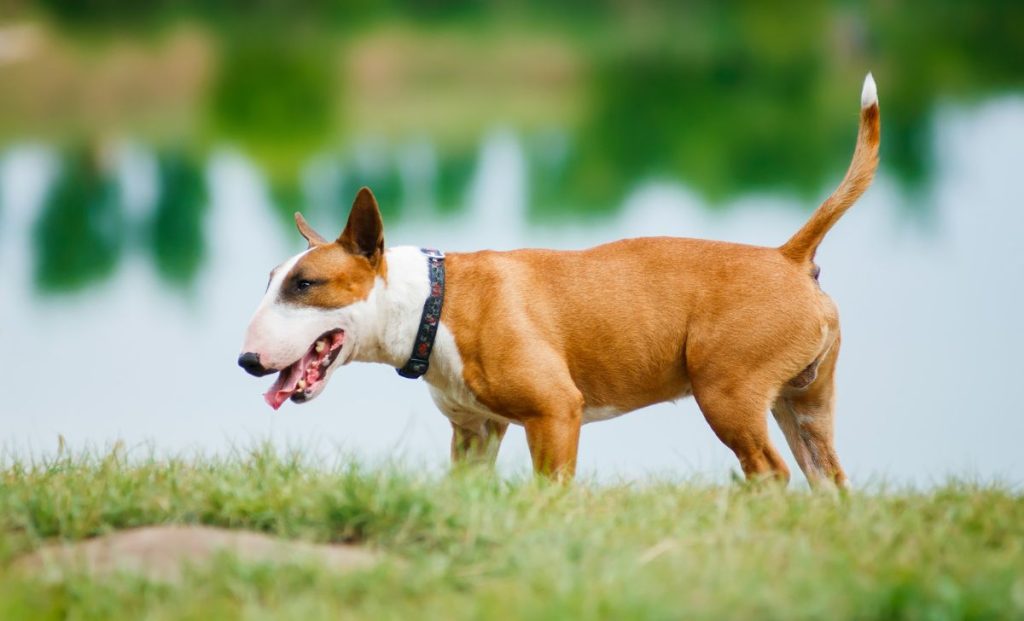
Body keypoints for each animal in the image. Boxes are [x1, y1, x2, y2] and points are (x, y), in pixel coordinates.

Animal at [237, 75, 880, 489]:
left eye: (306, 284)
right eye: (270, 281)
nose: (246, 361)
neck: (433, 303)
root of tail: (787, 257)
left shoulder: (554, 415)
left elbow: (550, 494)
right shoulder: (475, 432)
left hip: (728, 394)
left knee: (769, 472)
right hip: (805, 405)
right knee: (827, 478)